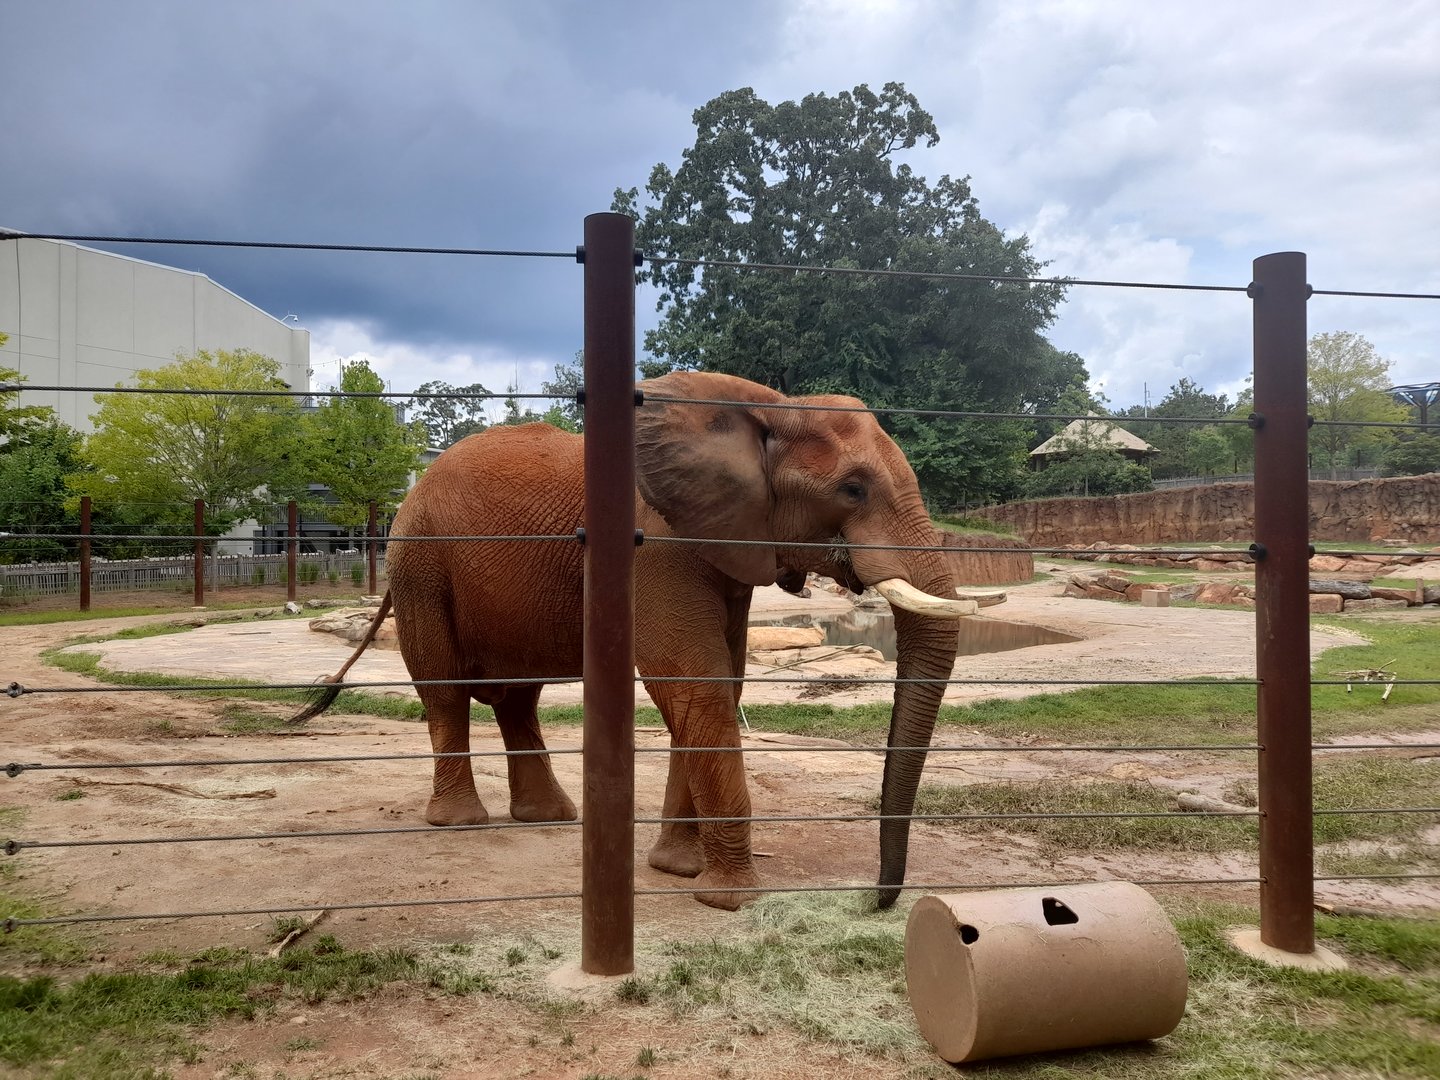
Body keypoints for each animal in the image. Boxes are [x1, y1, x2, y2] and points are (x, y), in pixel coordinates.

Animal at [293, 371, 971, 910]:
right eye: (852, 489)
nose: (877, 898)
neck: (769, 407)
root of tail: (408, 493)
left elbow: (721, 680)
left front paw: (677, 870)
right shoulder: (657, 541)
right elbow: (693, 678)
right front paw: (728, 900)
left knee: (518, 695)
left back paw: (549, 817)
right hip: (421, 565)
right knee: (446, 689)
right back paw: (461, 824)